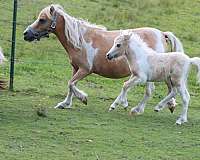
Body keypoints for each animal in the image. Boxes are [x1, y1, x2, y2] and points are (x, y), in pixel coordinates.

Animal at [22, 4, 184, 111]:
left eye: (42, 19)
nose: (26, 34)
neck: (80, 40)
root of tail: (162, 34)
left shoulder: (85, 69)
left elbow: (71, 84)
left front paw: (83, 98)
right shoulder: (75, 68)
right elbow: (70, 85)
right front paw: (64, 104)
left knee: (152, 90)